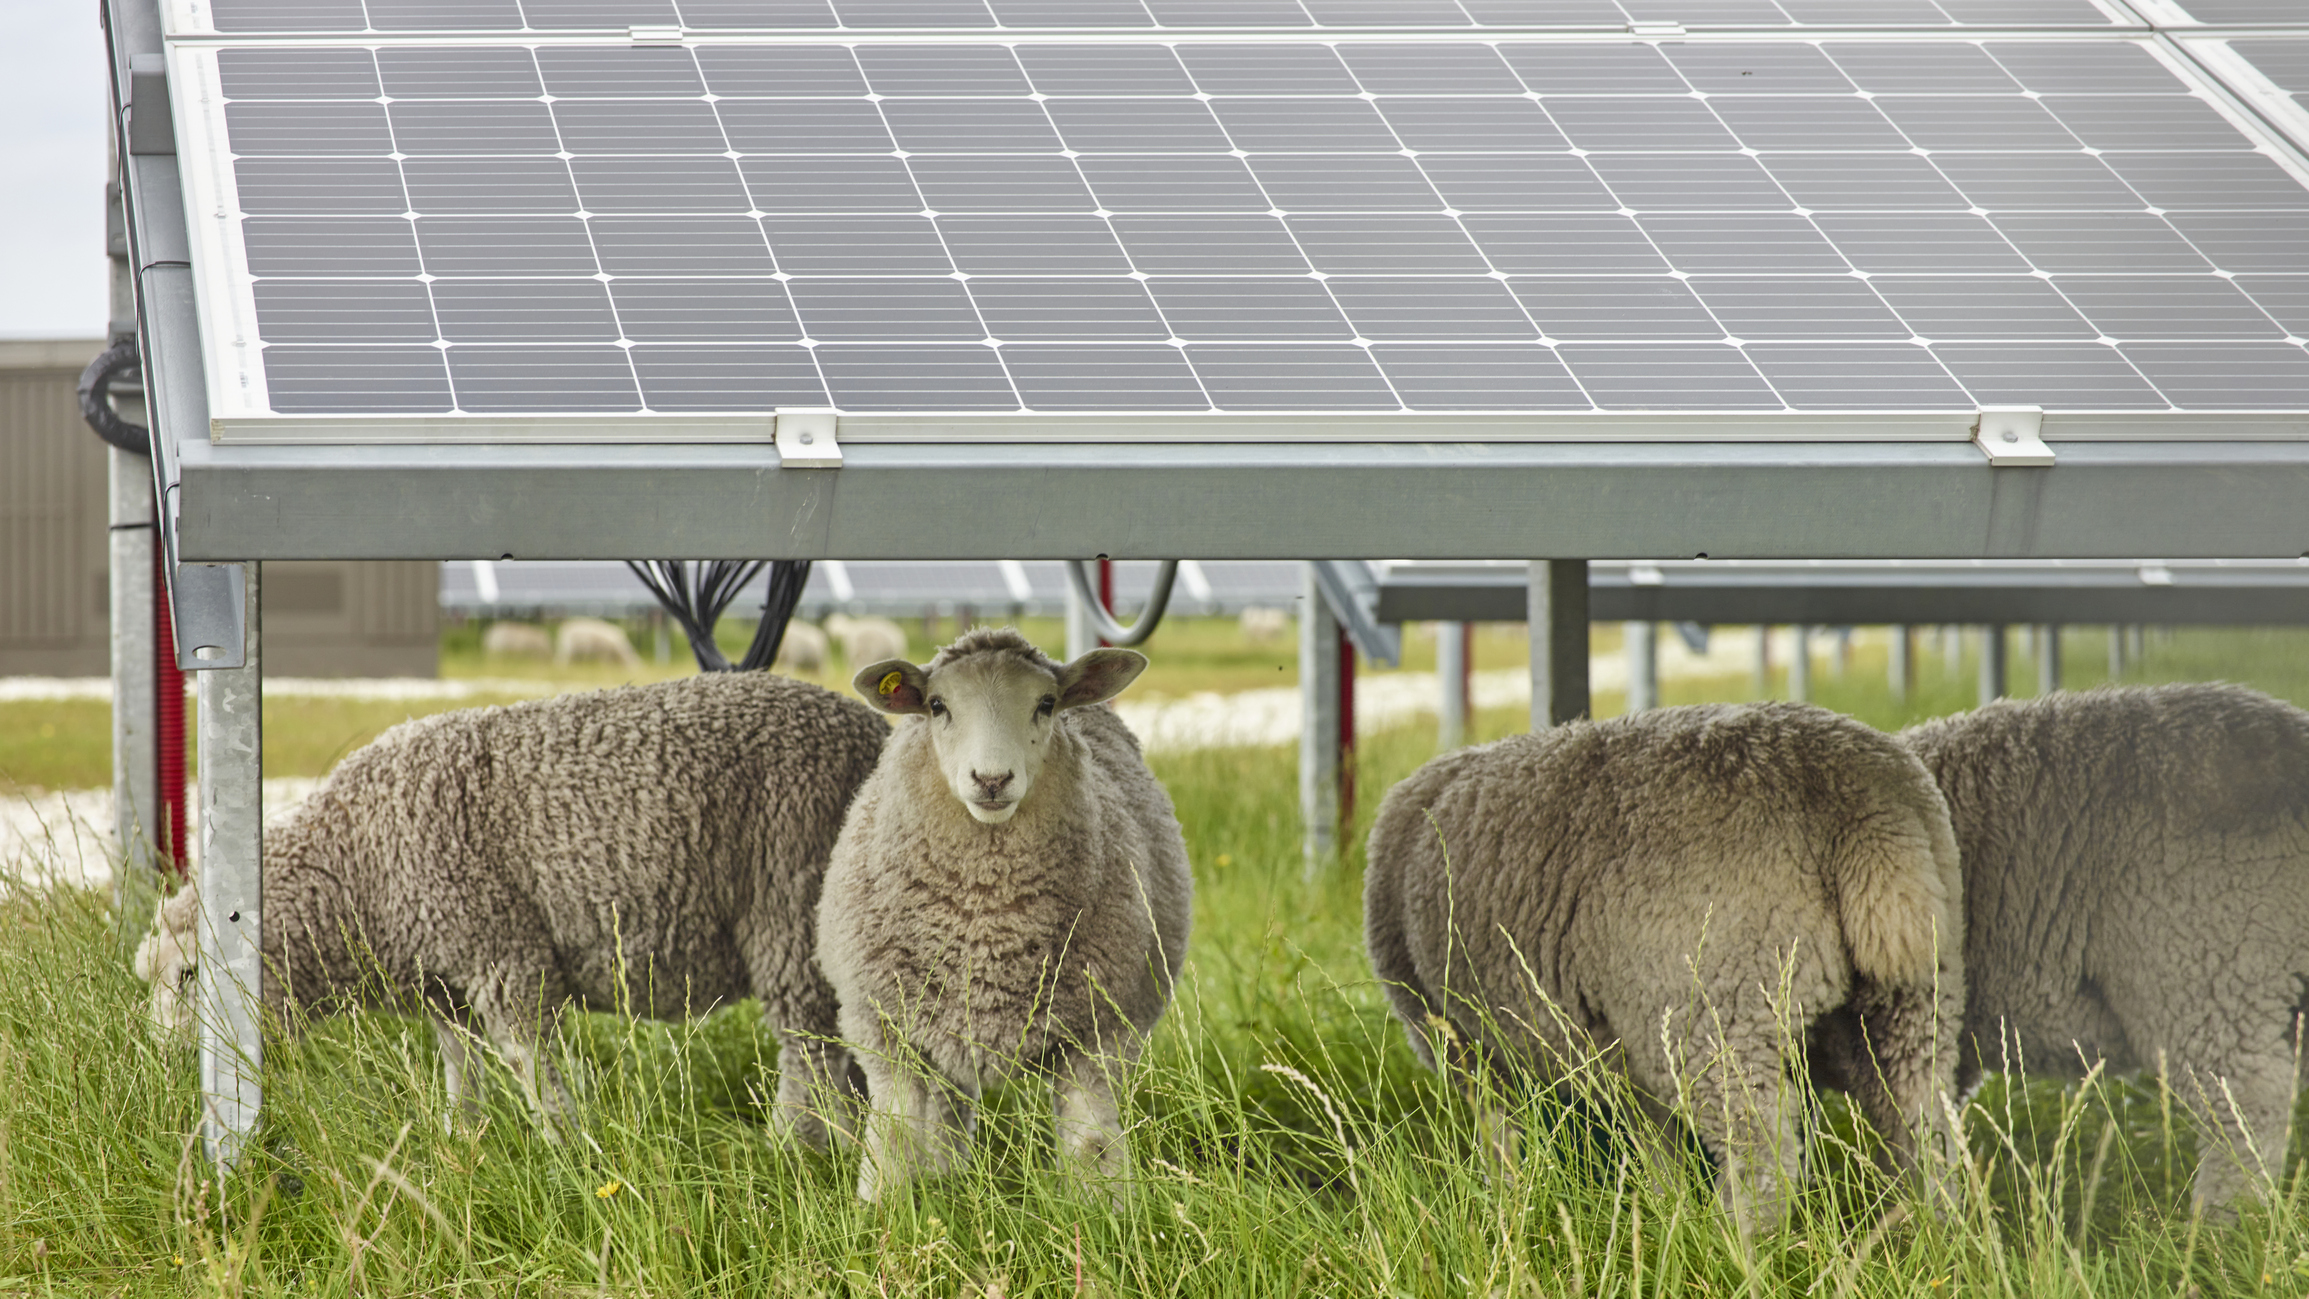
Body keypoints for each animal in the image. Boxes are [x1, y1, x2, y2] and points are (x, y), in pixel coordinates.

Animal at [132, 669, 891, 1149]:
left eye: (191, 976)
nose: (160, 1068)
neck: (357, 867)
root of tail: (872, 732)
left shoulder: (505, 954)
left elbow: (534, 1068)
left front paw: (567, 1153)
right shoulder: (445, 979)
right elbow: (460, 1069)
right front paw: (459, 1143)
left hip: (792, 905)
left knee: (810, 1053)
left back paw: (791, 1149)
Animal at [817, 622, 1191, 1209]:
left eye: (1046, 704)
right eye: (937, 705)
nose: (991, 780)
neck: (988, 921)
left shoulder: (1098, 1033)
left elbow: (1092, 1146)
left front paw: (1104, 1217)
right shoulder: (882, 1028)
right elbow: (893, 1137)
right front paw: (882, 1214)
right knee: (946, 1108)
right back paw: (947, 1175)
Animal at [1366, 706, 1967, 1227]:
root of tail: (1860, 799)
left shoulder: (1465, 1047)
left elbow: (1501, 1136)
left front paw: (1506, 1205)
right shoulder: (1624, 1049)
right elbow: (1655, 1144)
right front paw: (1665, 1211)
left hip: (1715, 1010)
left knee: (1761, 1157)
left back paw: (1737, 1246)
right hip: (1912, 1000)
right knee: (1924, 1129)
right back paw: (1932, 1233)